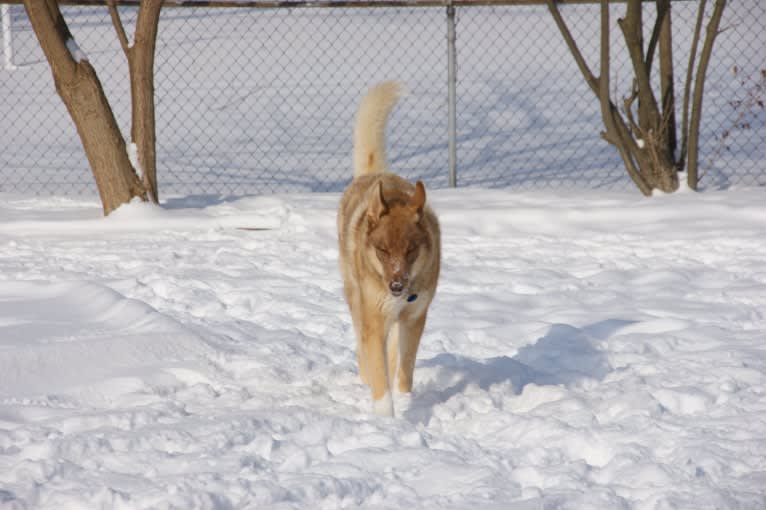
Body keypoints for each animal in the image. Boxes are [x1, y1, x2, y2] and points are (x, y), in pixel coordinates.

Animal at [338, 81, 440, 418]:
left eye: (411, 250)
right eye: (382, 250)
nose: (396, 286)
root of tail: (372, 174)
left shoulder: (414, 319)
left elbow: (404, 370)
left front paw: (405, 402)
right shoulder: (375, 318)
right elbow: (379, 373)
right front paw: (386, 418)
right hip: (355, 299)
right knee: (364, 348)